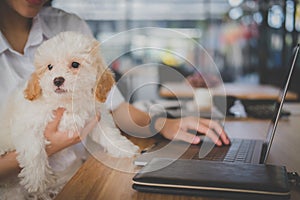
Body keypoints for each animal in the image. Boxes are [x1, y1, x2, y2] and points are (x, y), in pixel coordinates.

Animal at [0, 31, 140, 194]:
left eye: (75, 64)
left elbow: (109, 134)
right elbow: (34, 150)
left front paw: (124, 148)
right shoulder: (27, 125)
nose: (57, 80)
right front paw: (37, 179)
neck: (66, 103)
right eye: (50, 67)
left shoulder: (96, 117)